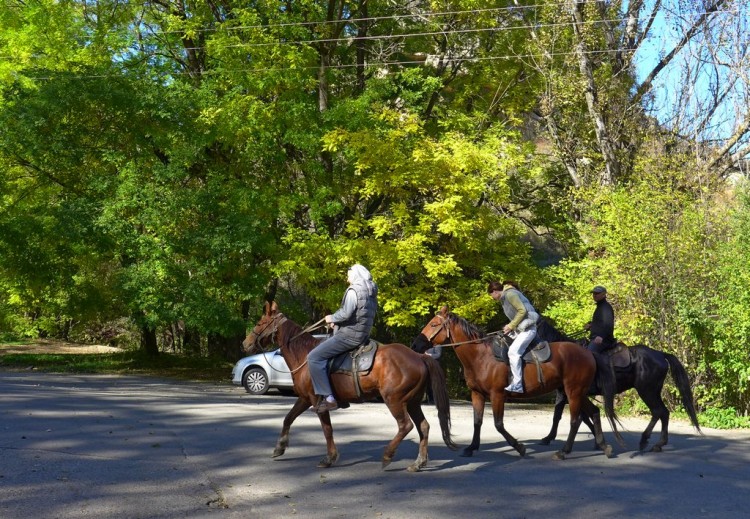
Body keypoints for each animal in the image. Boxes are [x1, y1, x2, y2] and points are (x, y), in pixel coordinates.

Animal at [245, 302, 458, 474]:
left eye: (260, 323)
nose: (245, 343)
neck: (304, 355)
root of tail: (420, 357)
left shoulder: (316, 401)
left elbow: (327, 429)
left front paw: (329, 458)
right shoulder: (304, 398)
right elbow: (288, 418)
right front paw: (279, 448)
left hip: (395, 400)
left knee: (405, 426)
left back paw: (387, 456)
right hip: (413, 402)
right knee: (424, 426)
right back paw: (418, 463)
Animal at [412, 306, 624, 462]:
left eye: (434, 324)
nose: (415, 345)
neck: (481, 356)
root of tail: (588, 353)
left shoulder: (497, 395)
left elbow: (498, 424)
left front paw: (520, 447)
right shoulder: (477, 394)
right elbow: (477, 421)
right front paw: (471, 447)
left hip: (573, 392)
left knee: (574, 420)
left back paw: (564, 451)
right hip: (577, 392)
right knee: (594, 412)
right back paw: (604, 446)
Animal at [536, 318, 704, 452]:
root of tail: (660, 354)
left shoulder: (569, 393)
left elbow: (566, 416)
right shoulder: (571, 394)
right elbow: (574, 415)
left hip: (647, 391)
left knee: (660, 412)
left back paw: (650, 442)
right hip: (652, 392)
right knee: (662, 413)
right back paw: (654, 443)